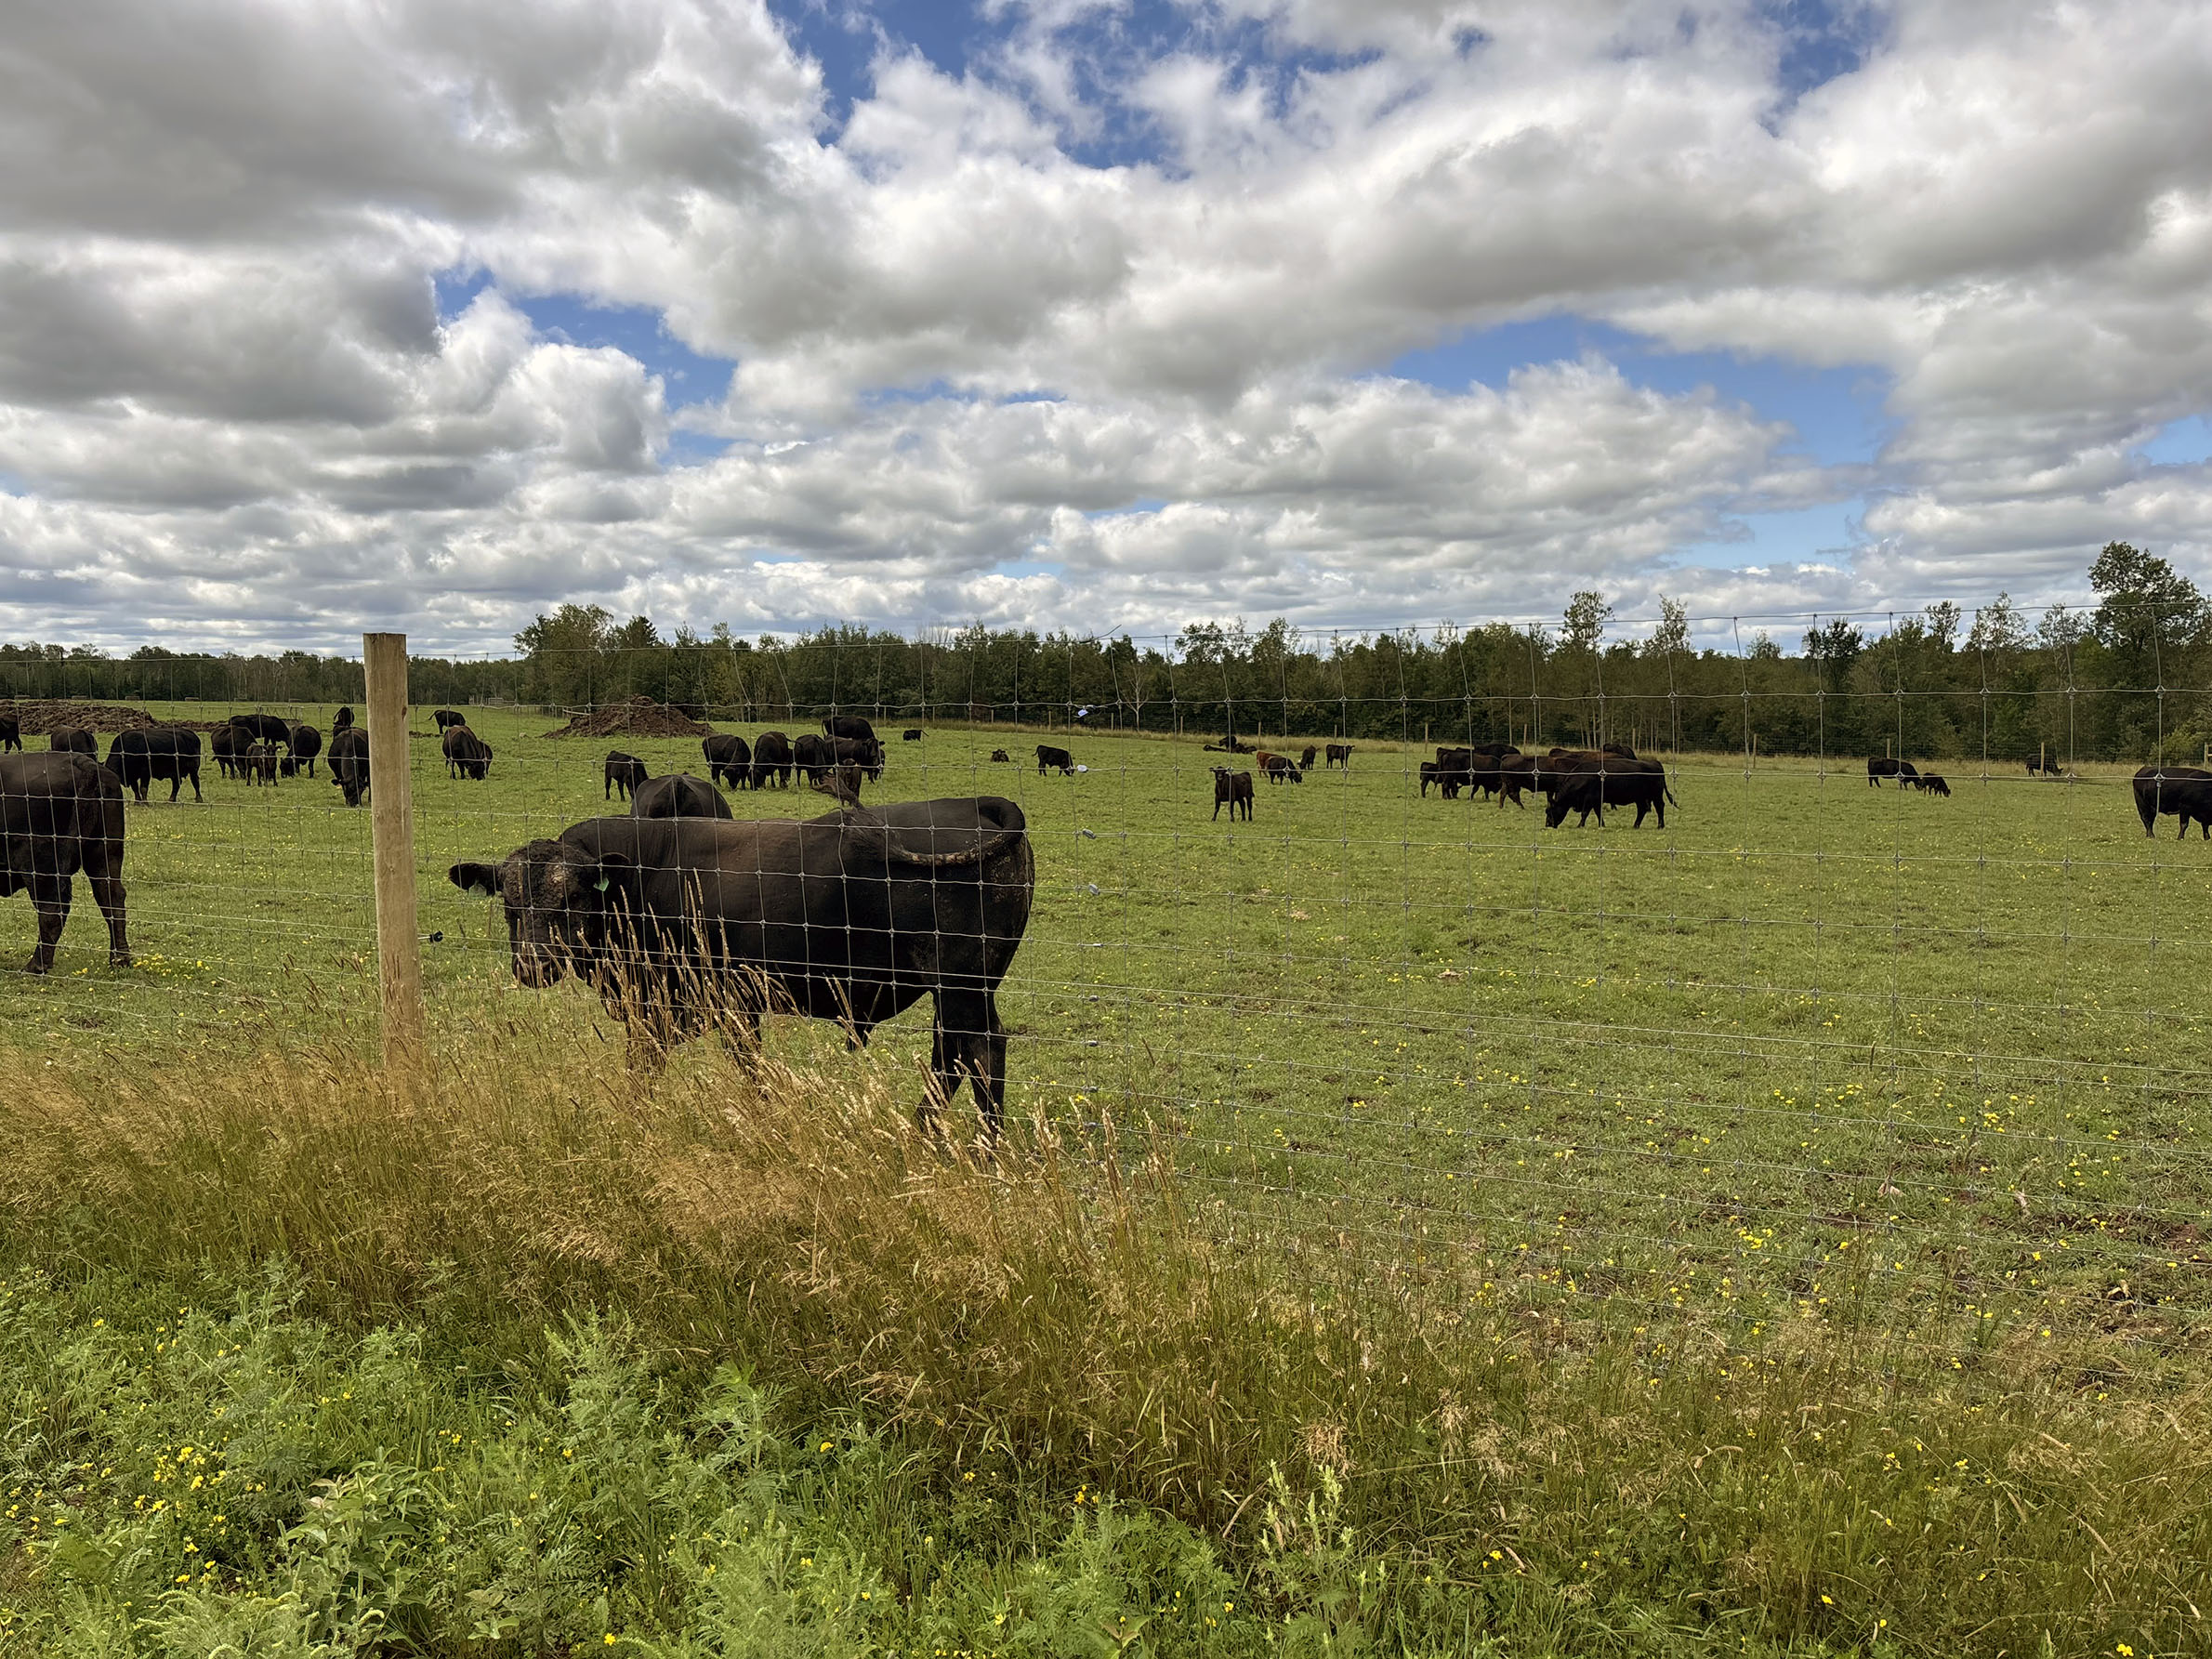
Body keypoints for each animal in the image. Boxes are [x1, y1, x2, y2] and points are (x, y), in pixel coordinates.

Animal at [0, 752, 128, 973]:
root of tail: (83, 764)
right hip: (104, 855)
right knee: (111, 897)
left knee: (52, 909)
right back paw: (119, 960)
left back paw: (35, 966)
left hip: (40, 867)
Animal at [453, 787, 1039, 1141]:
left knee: (982, 1051)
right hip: (957, 990)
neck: (646, 875)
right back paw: (919, 1138)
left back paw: (985, 1152)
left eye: (573, 897)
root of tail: (973, 801)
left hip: (963, 986)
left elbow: (684, 1072)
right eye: (509, 902)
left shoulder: (686, 1006)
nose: (533, 965)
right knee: (950, 1055)